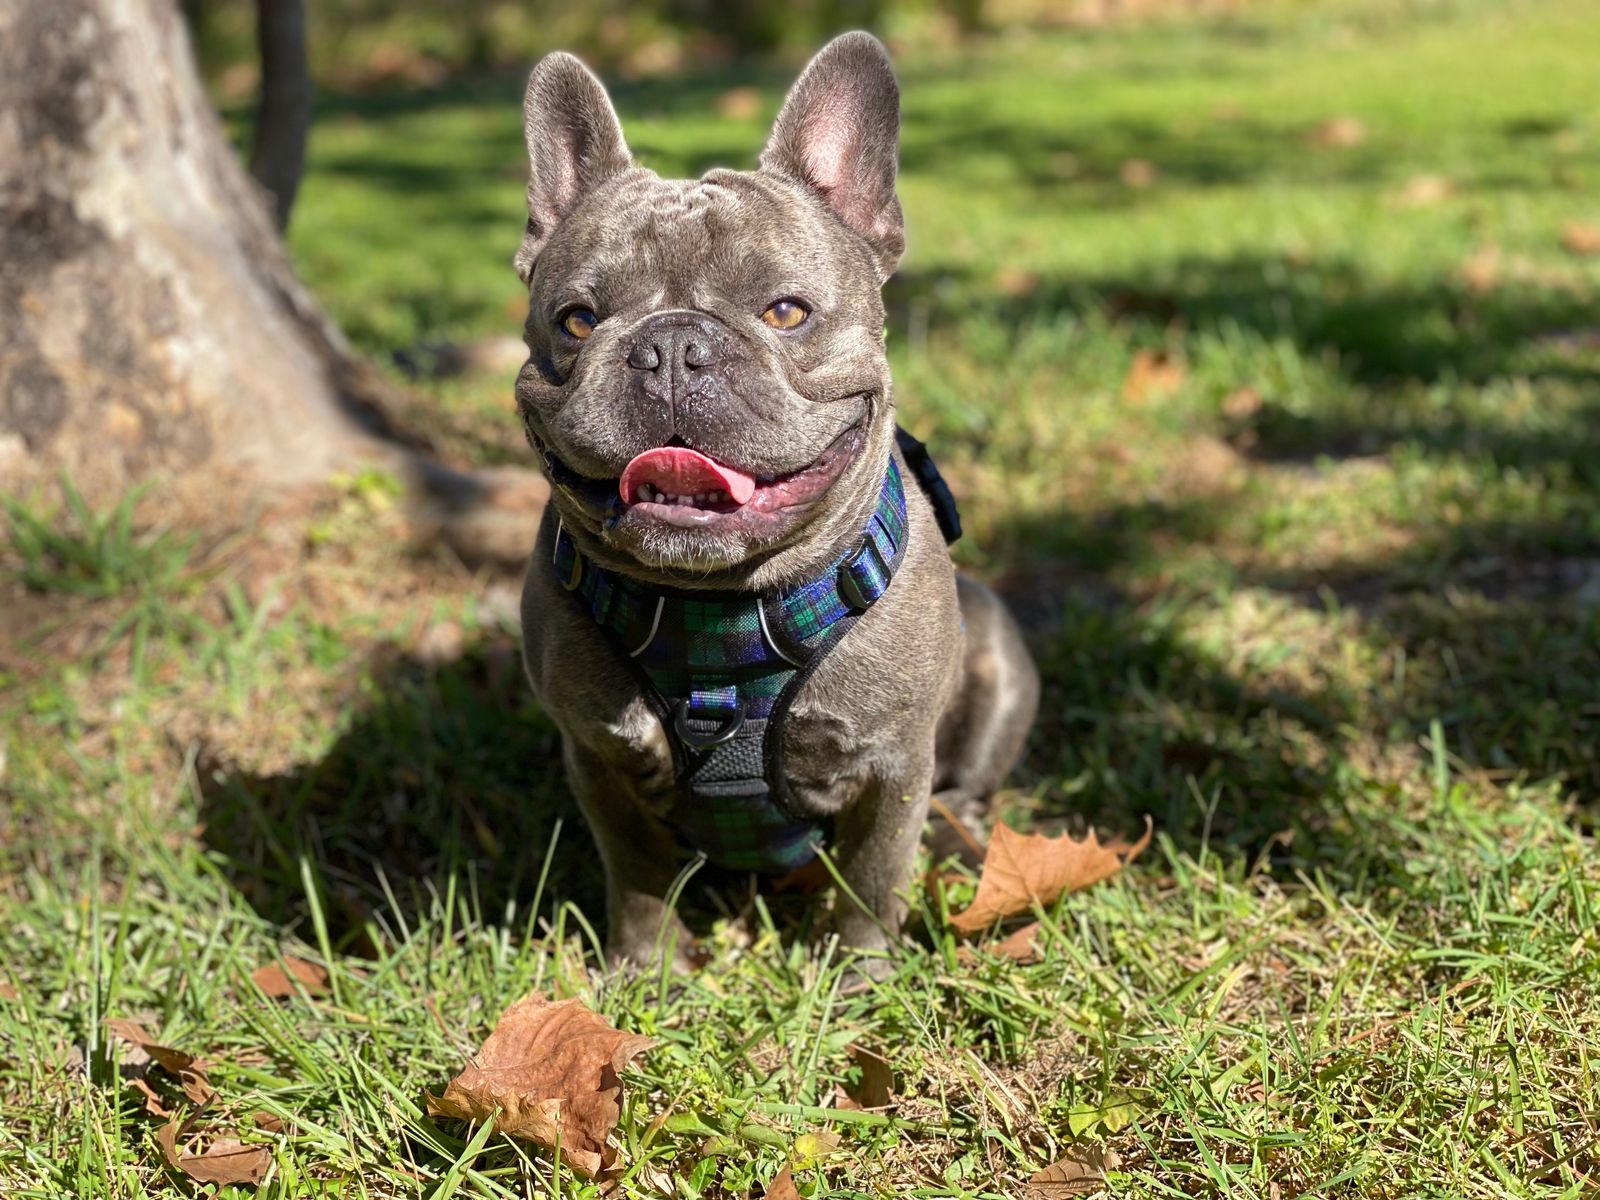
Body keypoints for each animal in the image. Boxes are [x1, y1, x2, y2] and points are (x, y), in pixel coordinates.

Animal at [513, 32, 1039, 967]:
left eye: (786, 312)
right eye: (577, 321)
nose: (672, 346)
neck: (718, 607)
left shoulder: (894, 765)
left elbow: (872, 874)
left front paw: (858, 974)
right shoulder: (598, 758)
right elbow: (636, 870)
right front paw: (648, 970)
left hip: (1000, 659)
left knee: (962, 790)